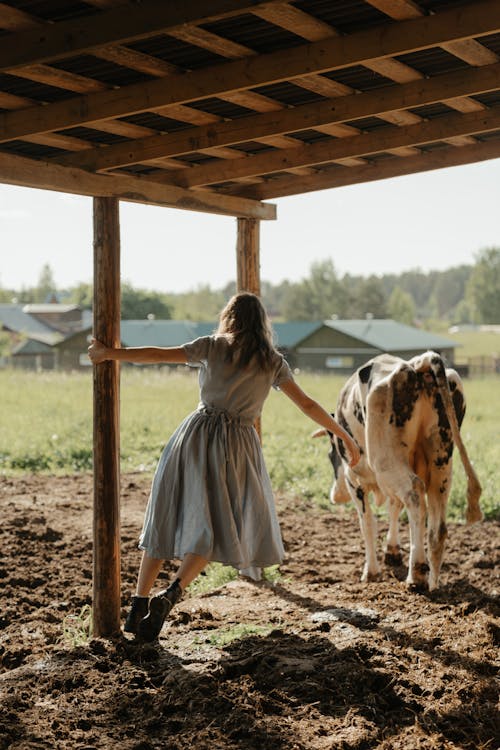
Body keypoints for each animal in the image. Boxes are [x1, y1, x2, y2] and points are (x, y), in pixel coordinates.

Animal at [314, 352, 482, 592]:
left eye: (330, 454)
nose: (335, 496)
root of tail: (419, 363)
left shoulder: (354, 479)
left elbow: (367, 523)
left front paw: (371, 572)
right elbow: (394, 508)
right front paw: (392, 551)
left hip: (386, 463)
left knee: (414, 495)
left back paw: (417, 574)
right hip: (440, 460)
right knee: (436, 518)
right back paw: (433, 582)